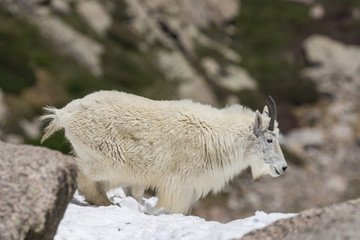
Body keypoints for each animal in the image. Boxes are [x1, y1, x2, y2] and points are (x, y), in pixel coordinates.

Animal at [40, 91, 286, 215]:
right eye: (269, 138)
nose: (282, 168)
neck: (216, 135)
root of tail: (65, 113)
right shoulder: (180, 183)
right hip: (105, 160)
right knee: (83, 173)